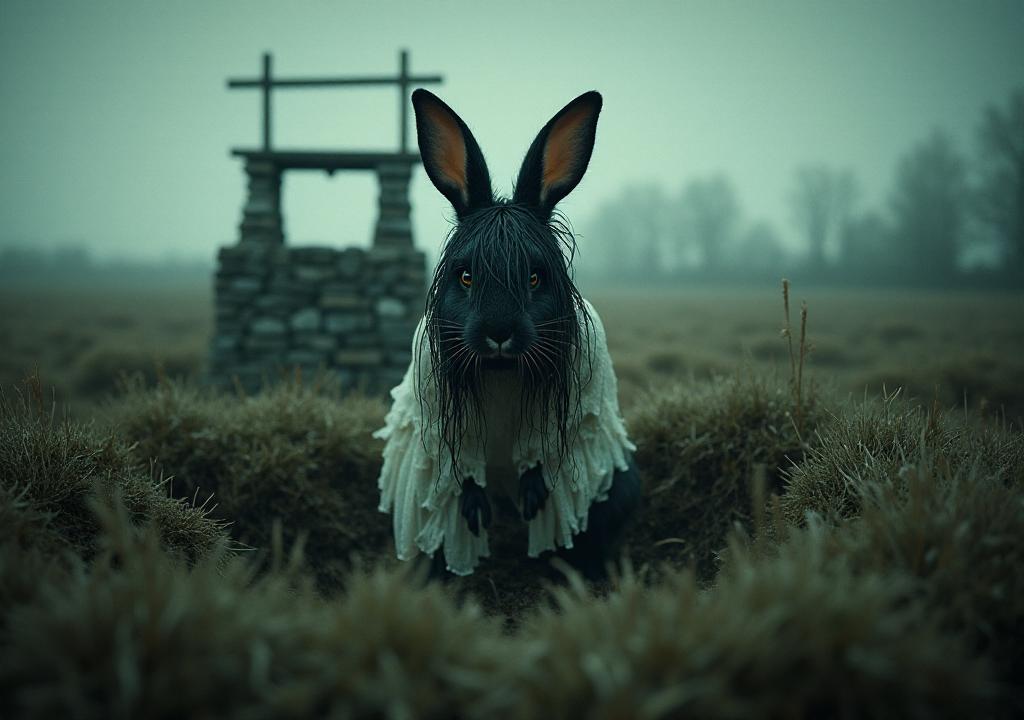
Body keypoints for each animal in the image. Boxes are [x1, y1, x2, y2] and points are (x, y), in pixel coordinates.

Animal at [374, 88, 638, 581]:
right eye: (465, 276)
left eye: (535, 277)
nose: (498, 333)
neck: (501, 373)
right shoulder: (439, 420)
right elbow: (462, 468)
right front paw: (475, 510)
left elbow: (540, 452)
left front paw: (533, 498)